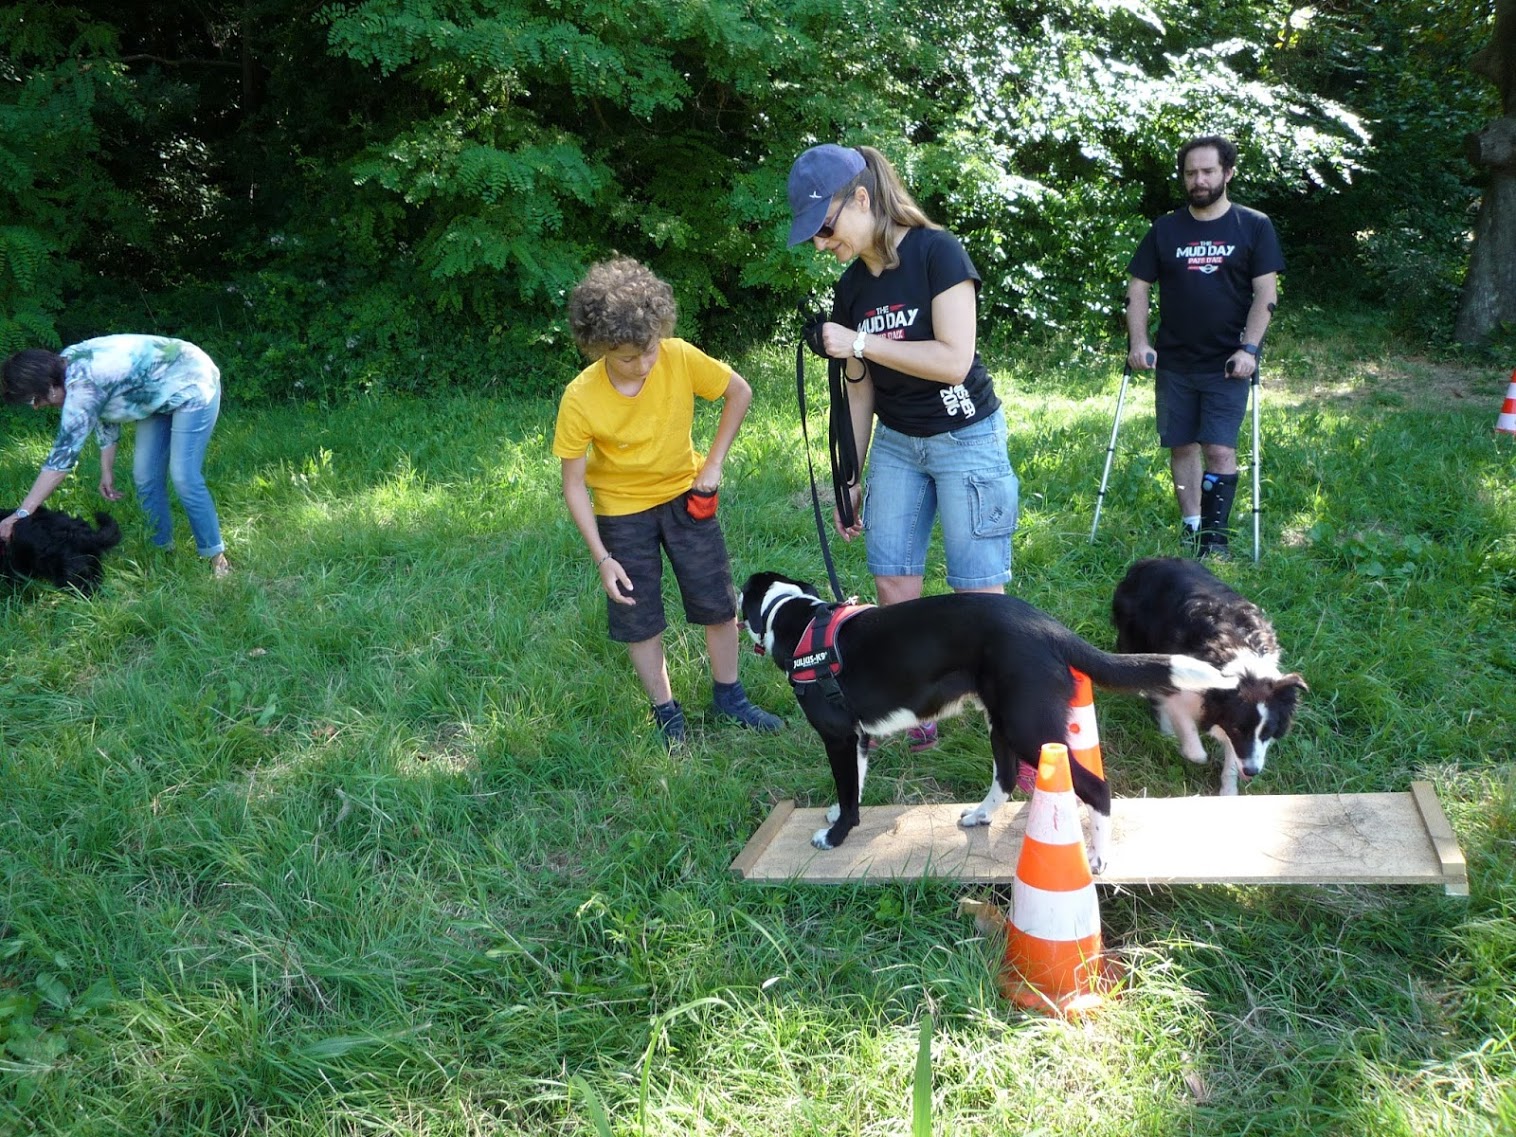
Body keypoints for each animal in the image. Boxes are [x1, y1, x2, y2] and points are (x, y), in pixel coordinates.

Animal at [739, 573, 1237, 879]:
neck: (796, 618)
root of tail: (1052, 629)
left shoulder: (839, 737)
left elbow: (848, 793)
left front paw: (836, 834)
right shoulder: (859, 738)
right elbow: (854, 784)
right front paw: (837, 815)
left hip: (1028, 729)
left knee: (1096, 787)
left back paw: (1098, 855)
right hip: (1004, 723)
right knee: (1006, 777)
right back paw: (981, 815)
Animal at [1109, 557, 1309, 794]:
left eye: (1267, 732)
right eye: (1238, 728)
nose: (1252, 772)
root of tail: (1148, 561)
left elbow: (1232, 759)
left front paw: (1229, 792)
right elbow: (1191, 738)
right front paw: (1187, 747)